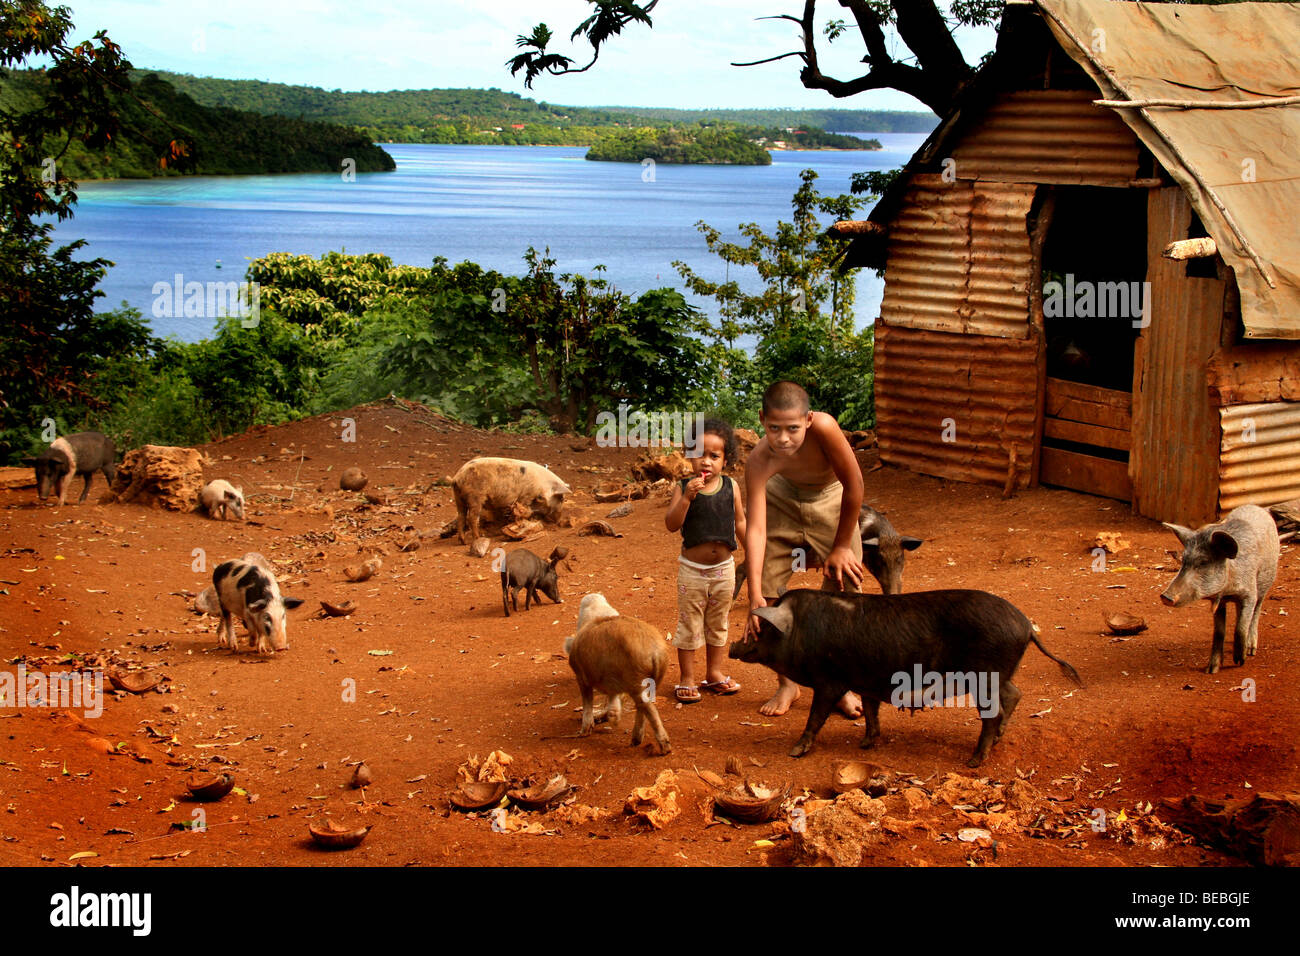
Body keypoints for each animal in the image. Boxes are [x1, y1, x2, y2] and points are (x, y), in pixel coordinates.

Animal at [738, 590, 1081, 770]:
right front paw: (865, 744)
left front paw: (794, 751)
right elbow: (871, 711)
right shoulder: (866, 680)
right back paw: (996, 741)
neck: (802, 629)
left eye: (762, 630)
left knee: (993, 713)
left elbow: (816, 716)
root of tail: (1026, 625)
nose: (734, 646)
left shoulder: (829, 681)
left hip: (984, 675)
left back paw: (974, 761)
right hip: (1001, 675)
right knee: (1014, 694)